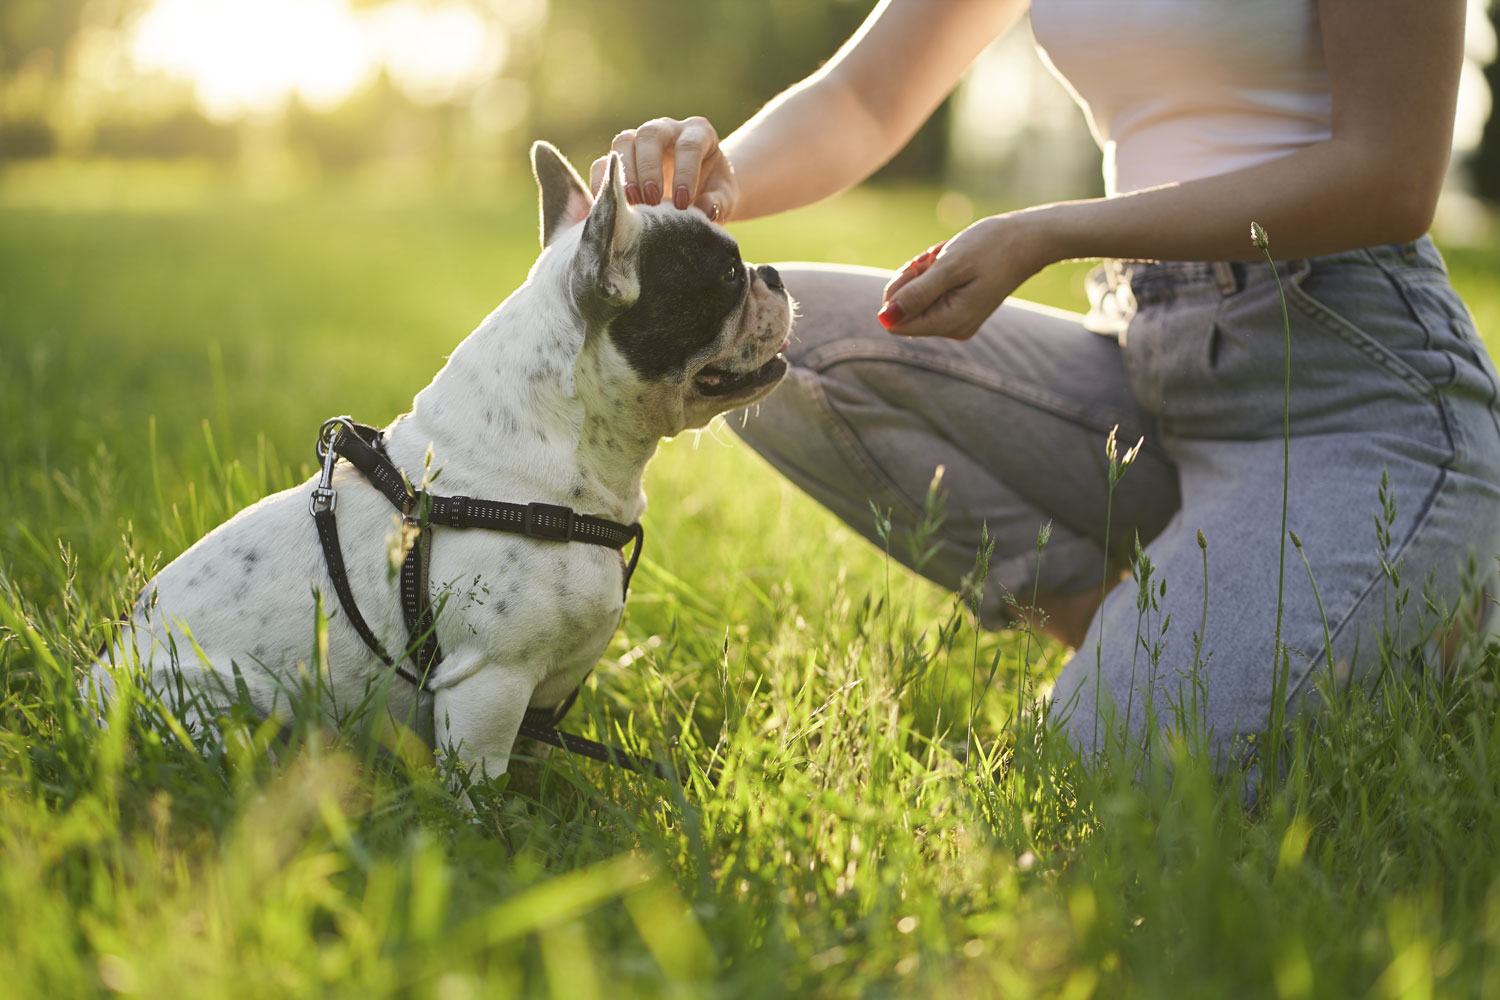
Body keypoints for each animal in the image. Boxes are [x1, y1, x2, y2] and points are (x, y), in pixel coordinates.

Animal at [90, 142, 798, 779]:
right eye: (727, 276)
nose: (773, 272)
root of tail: (91, 688)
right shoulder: (491, 684)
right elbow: (480, 787)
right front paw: (492, 832)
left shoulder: (540, 699)